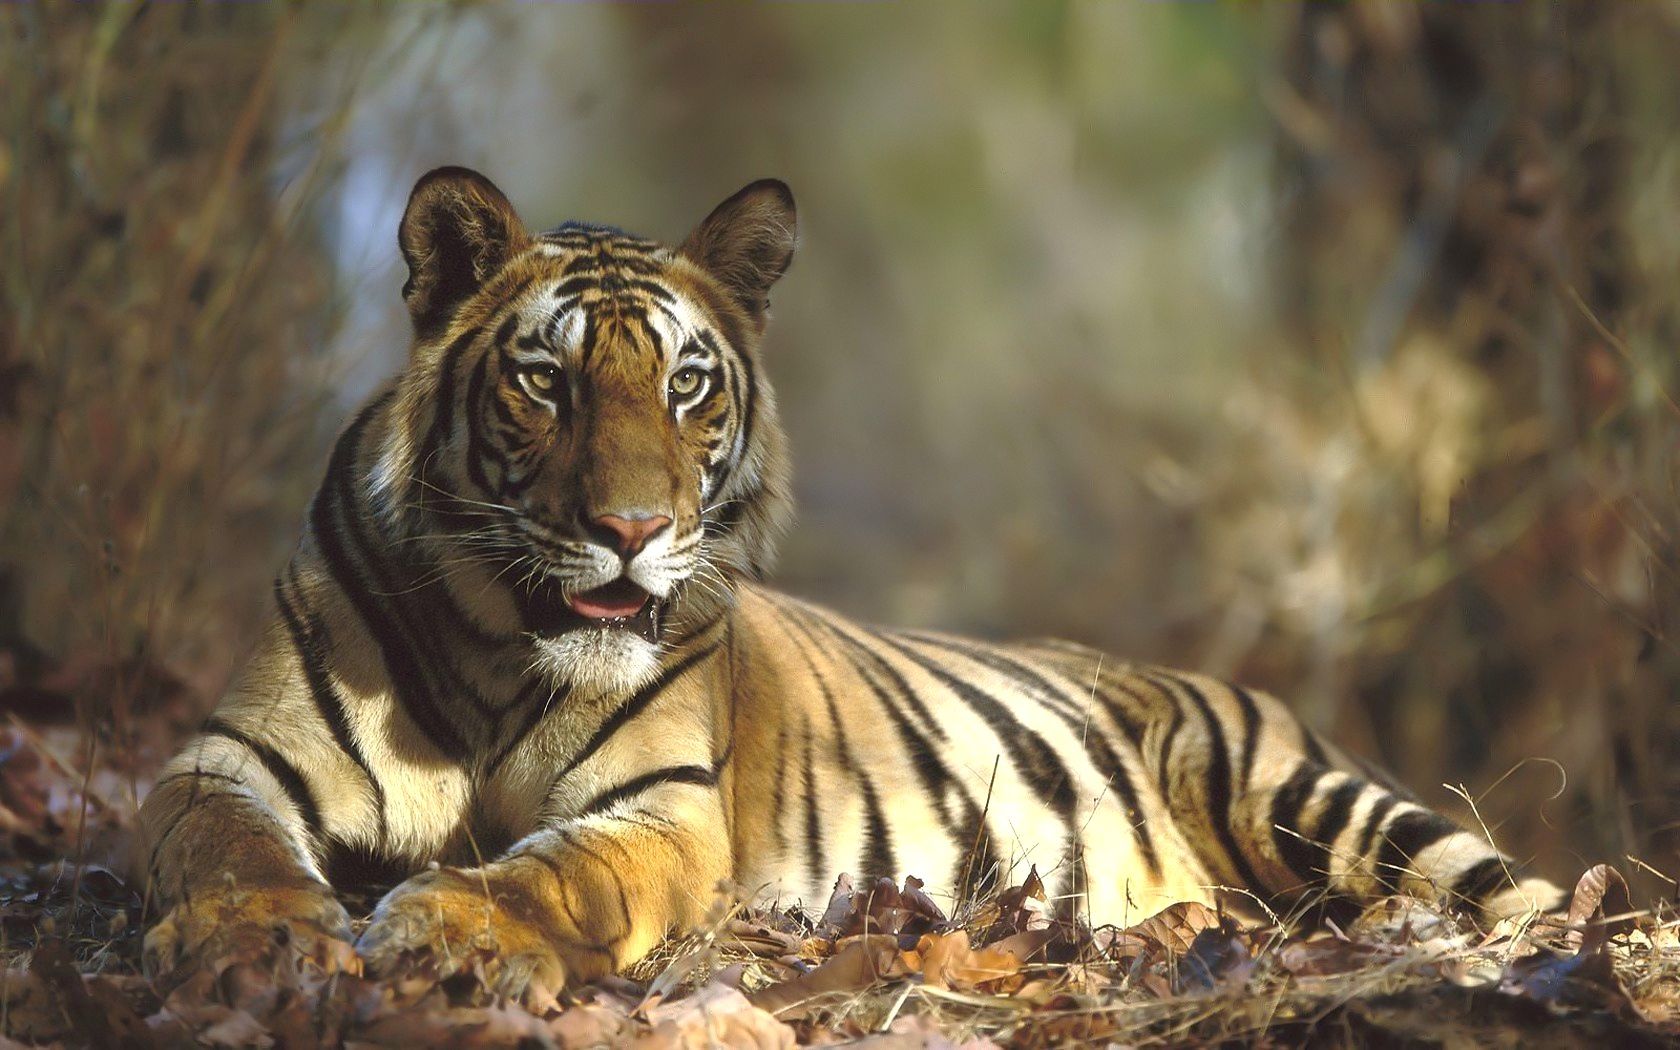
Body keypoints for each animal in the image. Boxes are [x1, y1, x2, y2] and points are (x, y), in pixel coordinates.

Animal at [137, 165, 1565, 1001]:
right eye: (545, 380)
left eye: (687, 384)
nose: (631, 529)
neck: (502, 648)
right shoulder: (226, 758)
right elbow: (219, 848)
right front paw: (258, 939)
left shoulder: (660, 810)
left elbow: (546, 876)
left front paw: (436, 927)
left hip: (1324, 805)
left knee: (1527, 902)